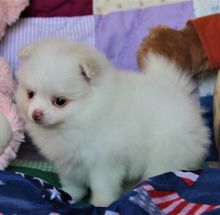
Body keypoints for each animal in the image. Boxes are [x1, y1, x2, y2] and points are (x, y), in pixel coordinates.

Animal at [15, 38, 210, 207]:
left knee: (160, 170)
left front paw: (100, 203)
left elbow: (102, 185)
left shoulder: (105, 161)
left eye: (60, 101)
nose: (36, 114)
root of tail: (180, 93)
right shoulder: (69, 160)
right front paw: (67, 195)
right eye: (30, 94)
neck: (87, 114)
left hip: (168, 150)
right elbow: (73, 182)